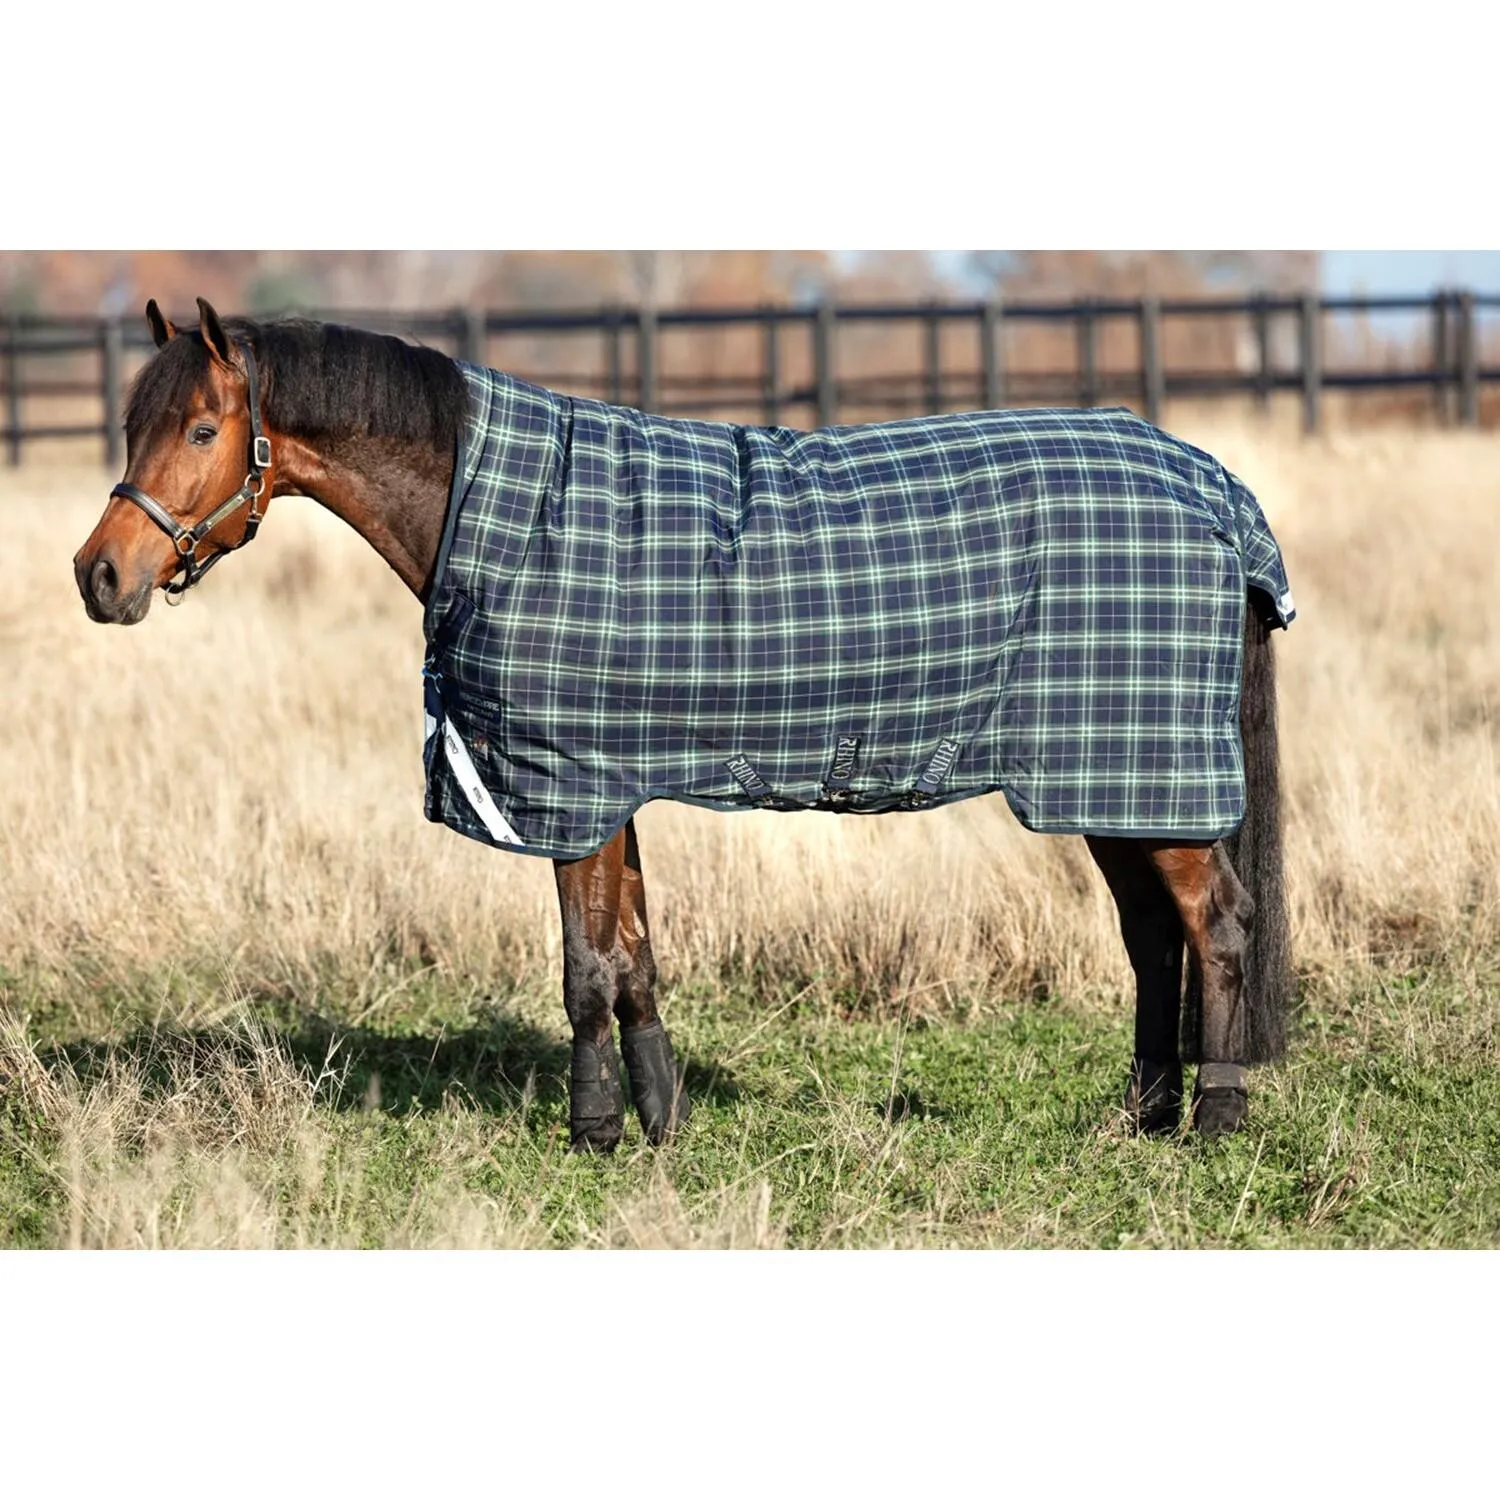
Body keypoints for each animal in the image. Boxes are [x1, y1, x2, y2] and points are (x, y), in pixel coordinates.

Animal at [72, 297, 1295, 1149]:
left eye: (201, 428)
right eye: (133, 424)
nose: (100, 576)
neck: (507, 515)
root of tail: (1215, 487)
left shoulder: (566, 788)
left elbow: (585, 968)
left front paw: (594, 1131)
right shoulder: (607, 786)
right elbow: (636, 958)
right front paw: (661, 1122)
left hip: (1147, 776)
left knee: (1221, 926)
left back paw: (1213, 1120)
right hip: (1109, 779)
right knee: (1153, 941)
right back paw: (1140, 1115)